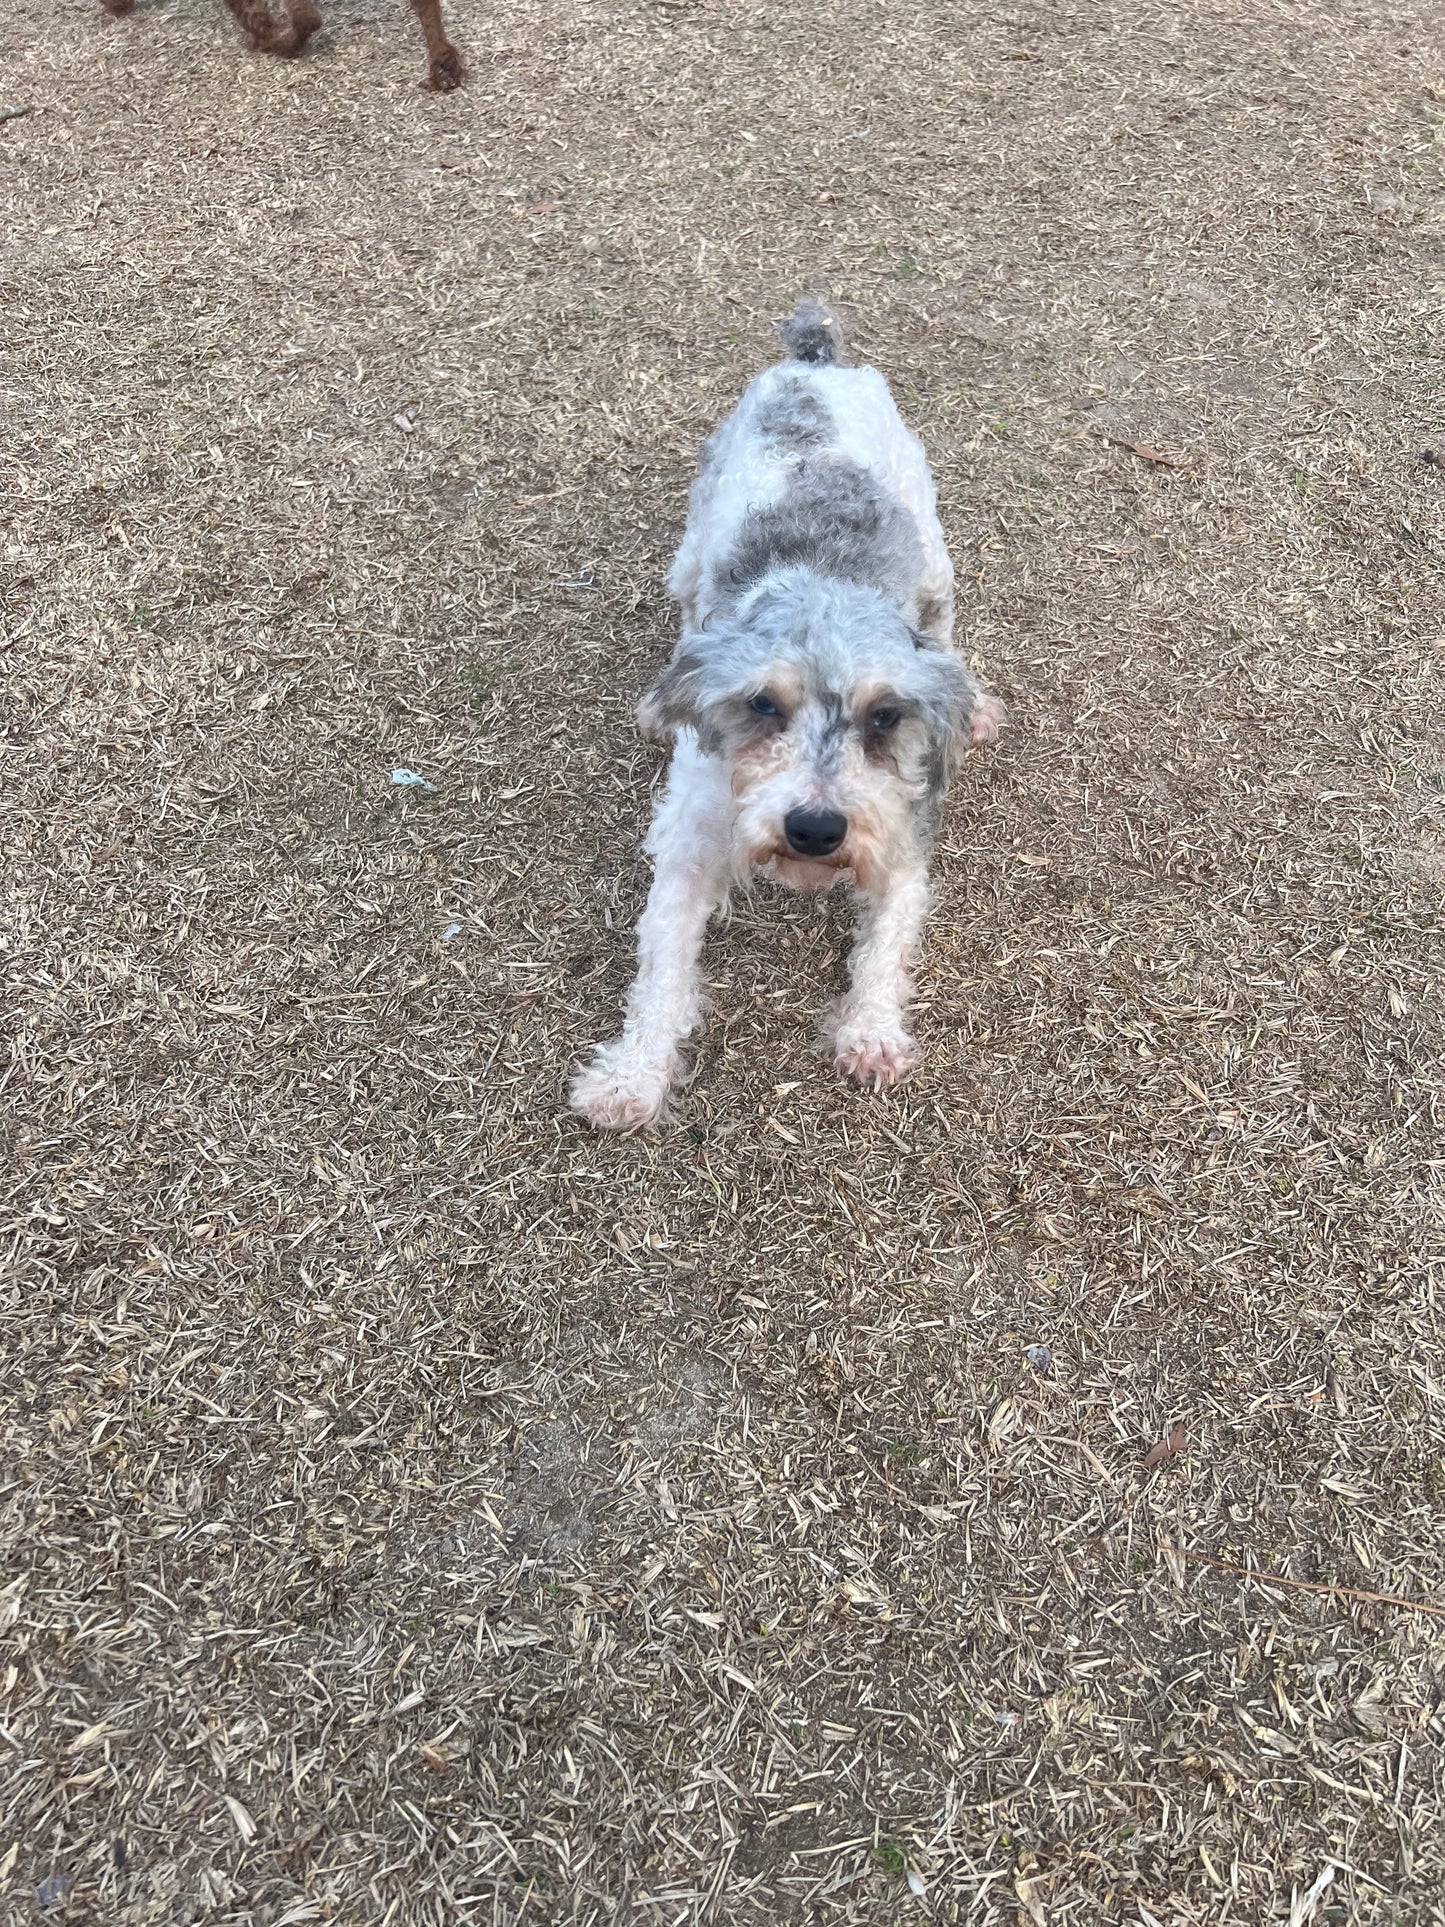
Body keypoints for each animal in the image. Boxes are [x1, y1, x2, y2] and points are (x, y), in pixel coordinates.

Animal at [570, 298, 1001, 1125]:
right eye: (762, 704)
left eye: (884, 716)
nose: (815, 828)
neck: (821, 583)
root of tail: (813, 361)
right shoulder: (689, 841)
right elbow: (662, 967)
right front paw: (632, 1076)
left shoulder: (903, 838)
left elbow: (885, 946)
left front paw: (871, 1034)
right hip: (692, 546)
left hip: (934, 556)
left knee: (944, 628)